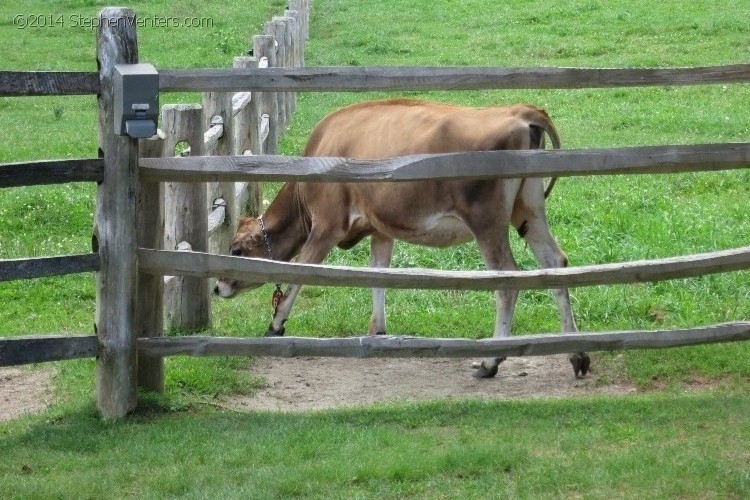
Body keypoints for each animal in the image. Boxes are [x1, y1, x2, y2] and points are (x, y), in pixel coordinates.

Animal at [217, 98, 592, 378]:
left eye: (236, 250)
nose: (218, 287)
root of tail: (521, 111)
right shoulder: (381, 230)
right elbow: (378, 276)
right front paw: (377, 332)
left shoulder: (327, 226)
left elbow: (302, 273)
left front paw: (277, 323)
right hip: (529, 211)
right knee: (556, 264)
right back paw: (577, 355)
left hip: (487, 222)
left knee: (507, 279)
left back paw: (490, 362)